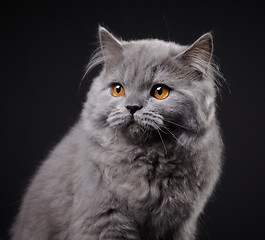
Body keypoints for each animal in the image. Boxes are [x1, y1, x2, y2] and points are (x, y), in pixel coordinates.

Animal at [11, 26, 224, 240]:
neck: (147, 160)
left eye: (160, 91)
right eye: (118, 89)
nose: (132, 107)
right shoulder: (103, 219)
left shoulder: (179, 225)